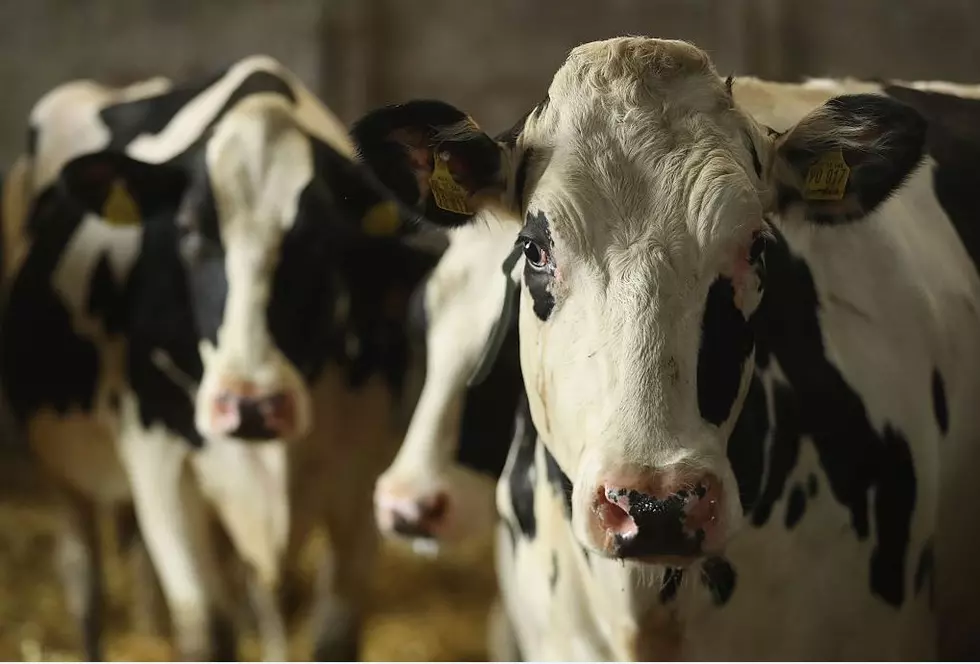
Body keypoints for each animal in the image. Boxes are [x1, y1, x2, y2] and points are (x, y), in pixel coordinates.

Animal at [0, 55, 436, 660]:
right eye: (187, 230)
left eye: (324, 238)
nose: (251, 406)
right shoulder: (163, 473)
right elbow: (207, 630)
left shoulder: (362, 469)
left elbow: (331, 634)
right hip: (64, 470)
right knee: (83, 576)